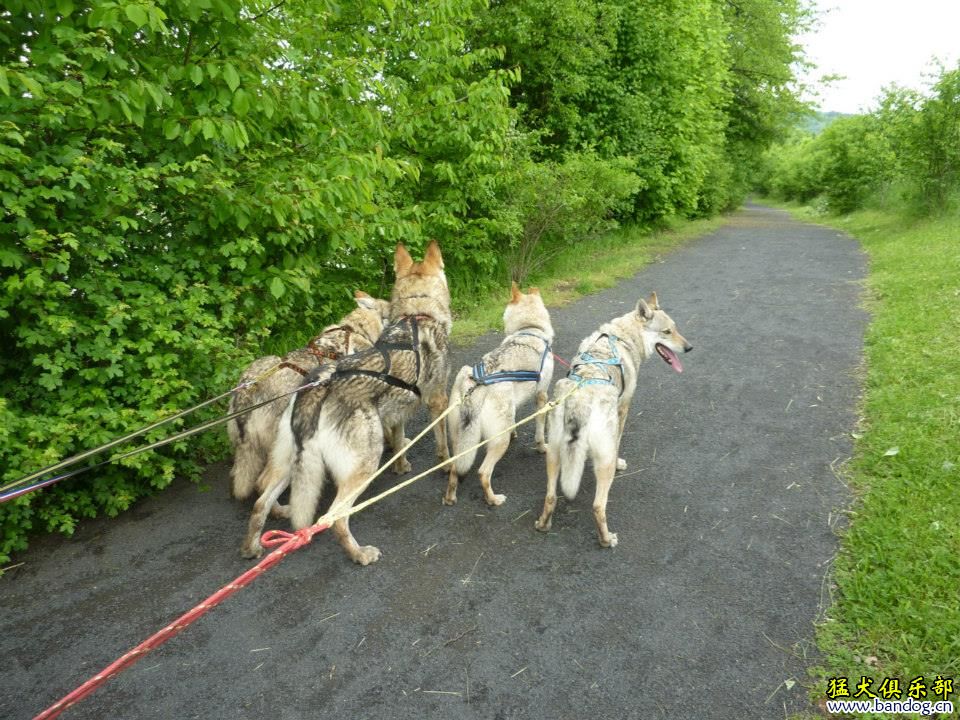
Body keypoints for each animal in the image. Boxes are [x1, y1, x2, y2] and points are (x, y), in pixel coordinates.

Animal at [540, 292, 688, 544]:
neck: (623, 337)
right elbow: (619, 443)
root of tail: (579, 400)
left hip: (553, 454)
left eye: (676, 329)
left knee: (550, 497)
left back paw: (542, 525)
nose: (689, 347)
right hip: (603, 465)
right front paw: (621, 463)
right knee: (598, 506)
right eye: (667, 332)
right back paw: (607, 540)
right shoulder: (623, 409)